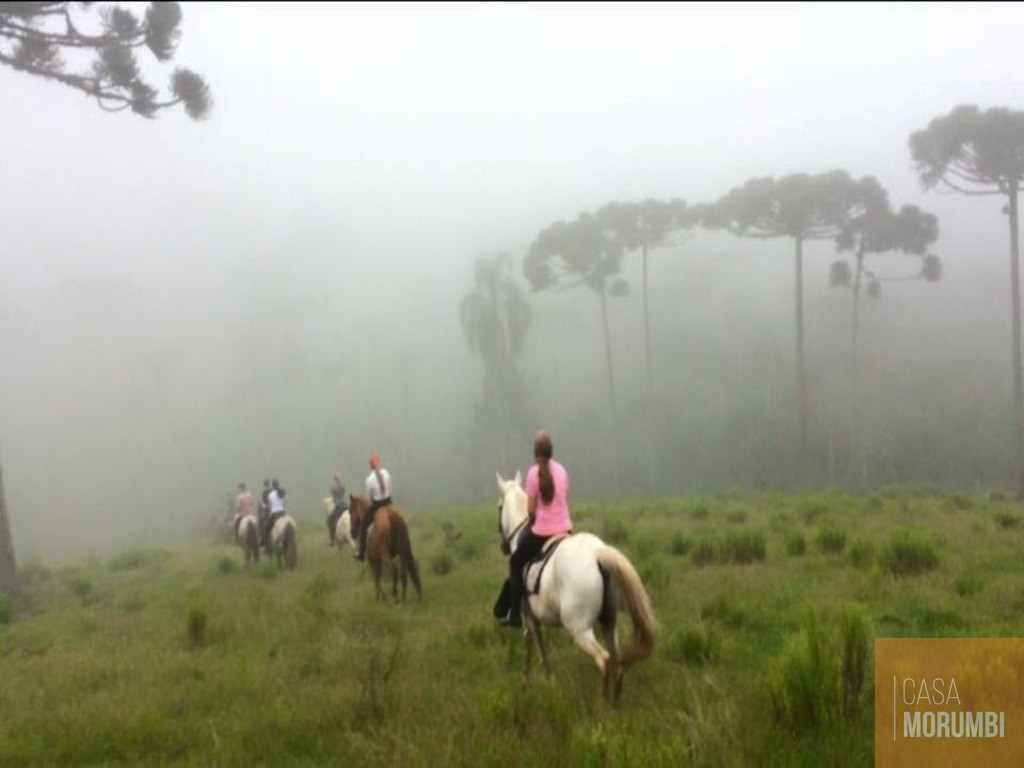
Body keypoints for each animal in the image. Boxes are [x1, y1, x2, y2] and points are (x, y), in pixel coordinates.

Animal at [495, 473, 655, 708]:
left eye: (499, 507)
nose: (504, 547)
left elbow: (536, 650)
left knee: (604, 660)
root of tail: (599, 554)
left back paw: (602, 705)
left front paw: (537, 685)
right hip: (609, 623)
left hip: (579, 628)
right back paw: (615, 704)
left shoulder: (530, 618)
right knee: (617, 661)